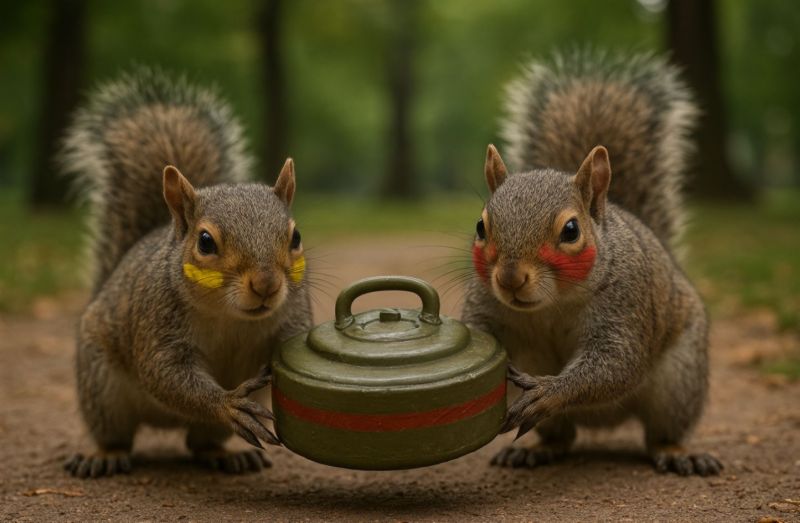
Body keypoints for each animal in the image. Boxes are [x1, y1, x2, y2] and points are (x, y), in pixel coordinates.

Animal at [59, 68, 313, 478]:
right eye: (205, 242)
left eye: (296, 237)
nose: (267, 285)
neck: (229, 316)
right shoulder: (157, 326)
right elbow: (166, 375)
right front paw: (226, 404)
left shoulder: (293, 312)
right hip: (101, 386)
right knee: (117, 434)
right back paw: (104, 455)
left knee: (200, 442)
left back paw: (226, 454)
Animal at [462, 50, 722, 476]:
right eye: (481, 227)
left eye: (571, 230)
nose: (510, 278)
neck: (551, 305)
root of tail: (603, 421)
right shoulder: (485, 302)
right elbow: (478, 332)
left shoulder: (626, 307)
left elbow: (614, 364)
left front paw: (551, 390)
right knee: (562, 436)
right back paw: (536, 449)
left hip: (679, 380)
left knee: (660, 431)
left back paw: (676, 452)